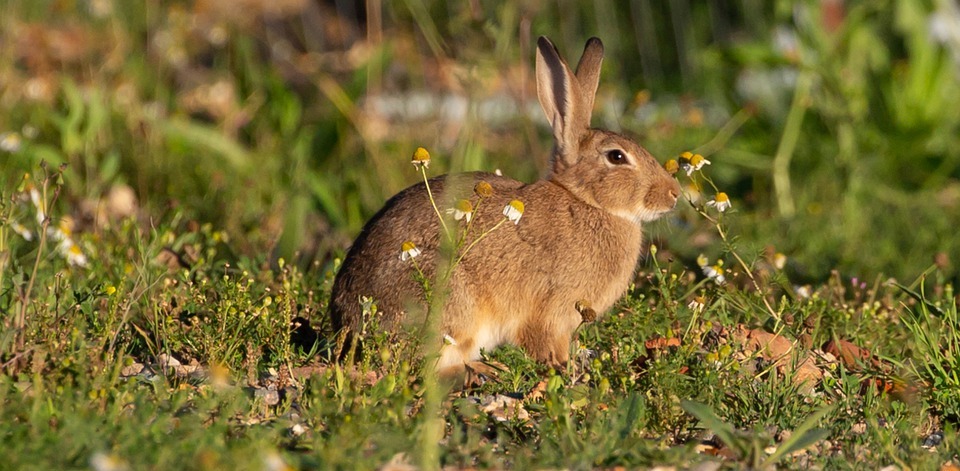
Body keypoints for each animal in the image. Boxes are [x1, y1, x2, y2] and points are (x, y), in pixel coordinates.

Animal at [330, 37, 684, 380]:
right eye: (617, 157)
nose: (674, 194)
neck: (586, 202)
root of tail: (346, 326)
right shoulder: (549, 309)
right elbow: (544, 342)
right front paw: (564, 370)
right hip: (448, 298)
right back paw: (485, 370)